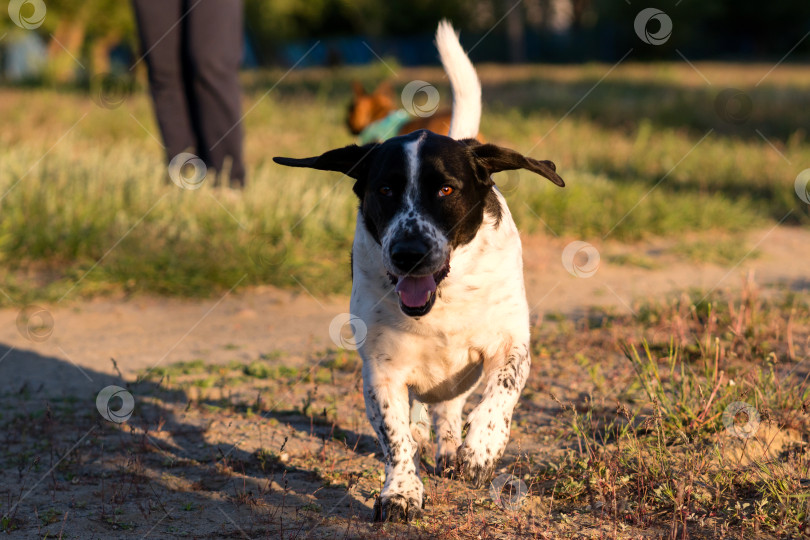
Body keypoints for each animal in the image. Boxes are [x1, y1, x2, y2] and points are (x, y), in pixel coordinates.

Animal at [274, 22, 560, 524]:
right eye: (385, 190)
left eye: (446, 189)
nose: (408, 253)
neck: (442, 300)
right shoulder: (382, 371)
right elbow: (396, 437)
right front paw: (402, 491)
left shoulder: (510, 345)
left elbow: (498, 396)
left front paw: (480, 449)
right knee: (425, 413)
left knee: (452, 406)